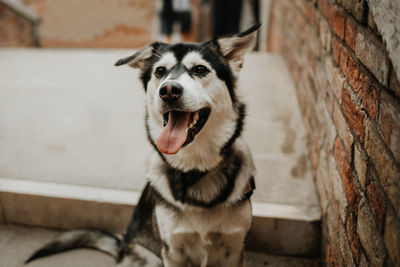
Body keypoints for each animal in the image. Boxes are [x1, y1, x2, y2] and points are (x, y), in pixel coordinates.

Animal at [26, 24, 260, 266]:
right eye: (160, 71)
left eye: (200, 69)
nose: (169, 90)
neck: (194, 170)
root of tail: (122, 247)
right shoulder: (173, 251)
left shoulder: (234, 250)